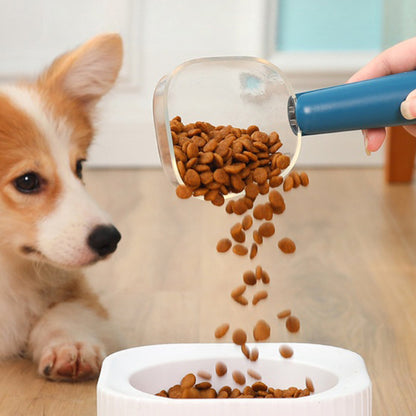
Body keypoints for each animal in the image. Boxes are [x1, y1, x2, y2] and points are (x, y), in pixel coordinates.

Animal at [0, 34, 123, 382]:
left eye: (79, 167)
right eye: (27, 181)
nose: (109, 239)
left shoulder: (77, 290)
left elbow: (66, 311)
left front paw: (71, 346)